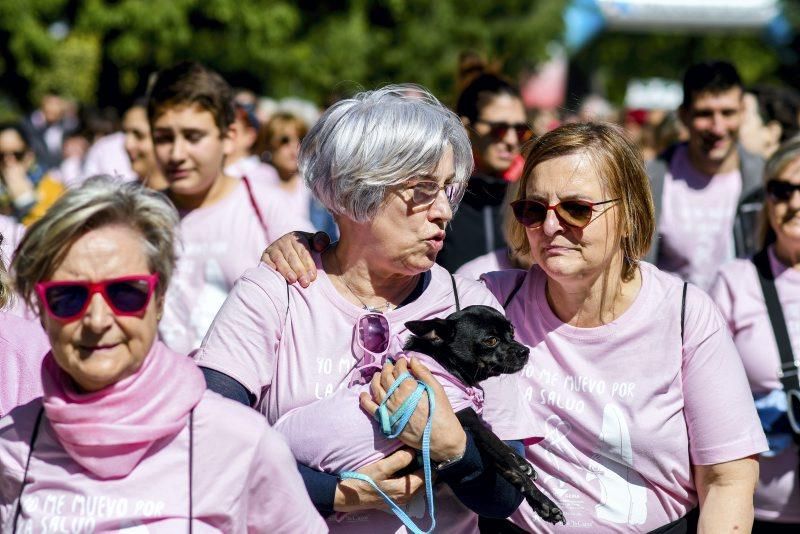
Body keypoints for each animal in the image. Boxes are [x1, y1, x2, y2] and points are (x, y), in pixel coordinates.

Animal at [404, 306, 564, 528]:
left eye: (512, 332)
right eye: (491, 341)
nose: (525, 350)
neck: (445, 363)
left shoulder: (475, 431)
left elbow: (501, 451)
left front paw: (523, 463)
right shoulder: (468, 419)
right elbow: (506, 459)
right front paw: (544, 503)